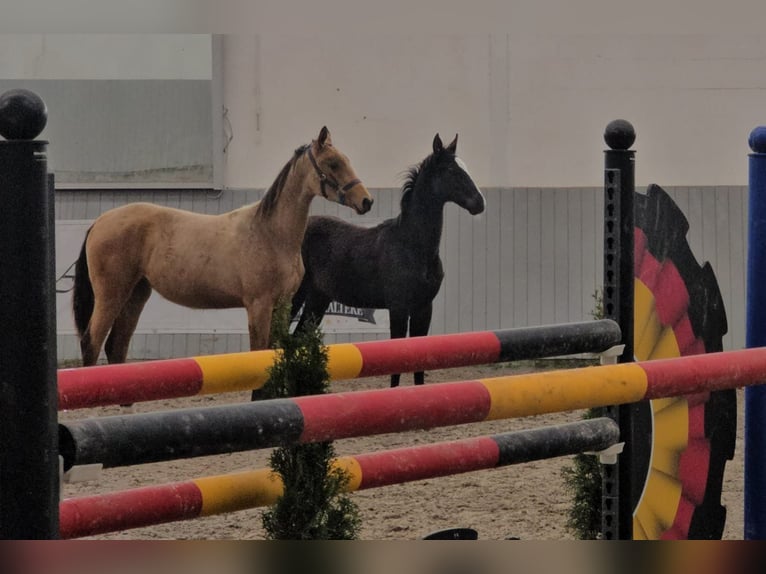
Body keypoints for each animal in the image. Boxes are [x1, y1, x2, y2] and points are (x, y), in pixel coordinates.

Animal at [294, 133, 486, 390]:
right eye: (449, 170)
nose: (479, 203)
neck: (412, 246)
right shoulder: (399, 308)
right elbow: (397, 361)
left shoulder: (424, 308)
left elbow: (419, 362)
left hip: (317, 299)